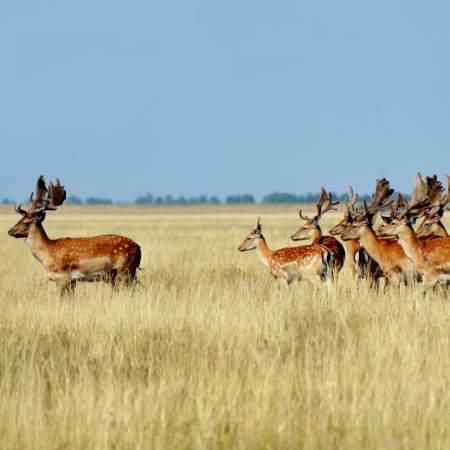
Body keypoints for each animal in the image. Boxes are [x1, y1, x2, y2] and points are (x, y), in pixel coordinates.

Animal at [7, 176, 141, 296]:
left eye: (26, 222)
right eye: (20, 219)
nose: (10, 231)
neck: (47, 252)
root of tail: (138, 247)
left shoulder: (62, 276)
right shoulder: (71, 280)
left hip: (124, 270)